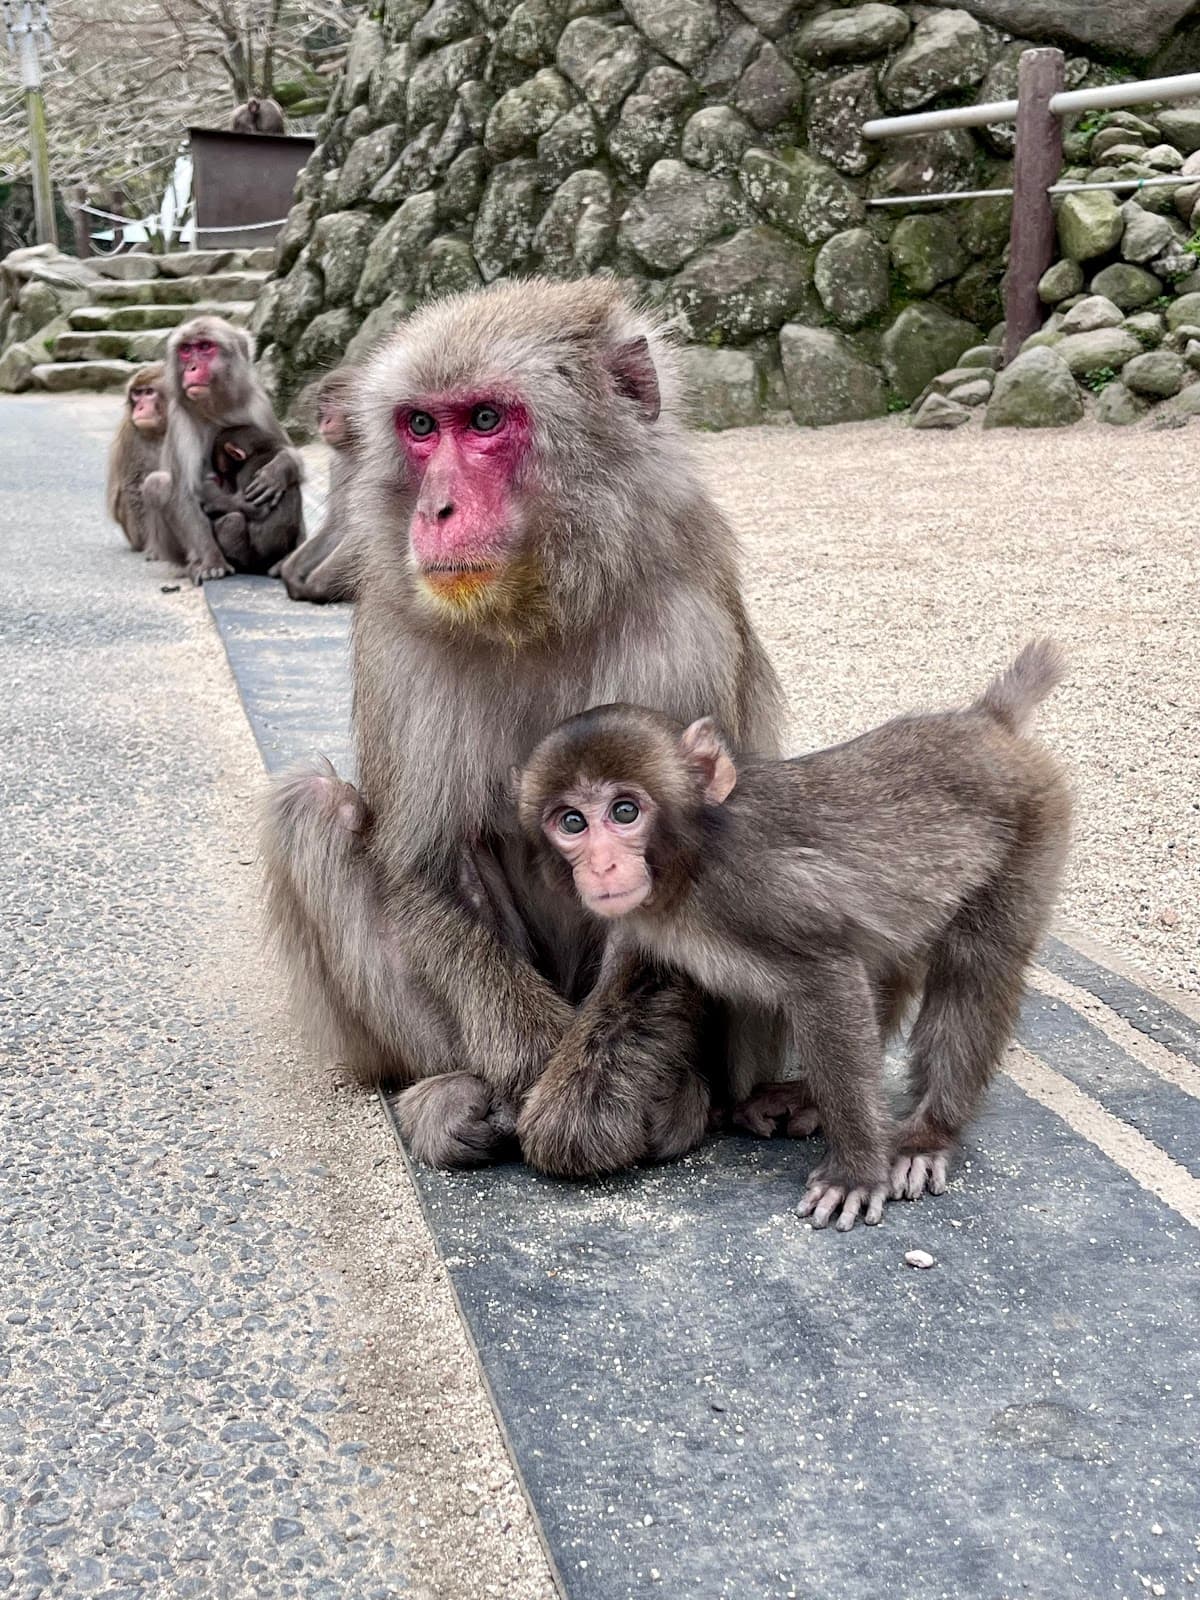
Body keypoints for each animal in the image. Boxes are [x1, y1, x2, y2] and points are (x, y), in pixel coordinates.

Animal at [200, 423, 305, 573]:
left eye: (223, 470)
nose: (220, 478)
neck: (259, 451)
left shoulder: (248, 470)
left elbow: (256, 508)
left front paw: (211, 500)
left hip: (249, 559)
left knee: (233, 520)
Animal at [272, 367, 363, 604]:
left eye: (336, 401)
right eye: (323, 404)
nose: (325, 420)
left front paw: (314, 587)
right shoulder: (337, 464)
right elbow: (337, 526)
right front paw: (290, 574)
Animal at [515, 640, 1072, 1230]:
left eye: (625, 811)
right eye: (572, 822)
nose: (601, 866)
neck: (691, 865)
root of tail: (986, 723)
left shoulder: (757, 894)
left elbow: (827, 979)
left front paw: (855, 1171)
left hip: (1033, 825)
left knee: (975, 966)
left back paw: (927, 1134)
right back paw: (807, 1095)